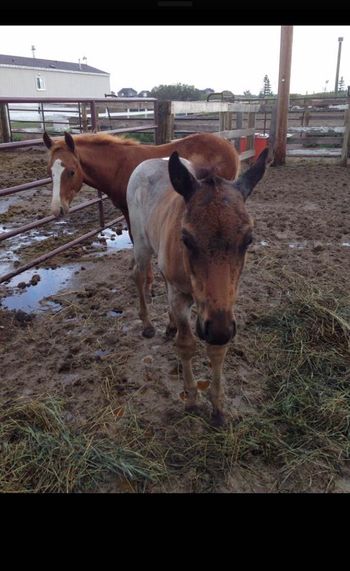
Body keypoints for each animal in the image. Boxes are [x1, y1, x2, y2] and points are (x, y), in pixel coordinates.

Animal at [127, 147, 270, 424]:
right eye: (186, 239)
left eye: (248, 239)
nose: (218, 331)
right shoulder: (182, 295)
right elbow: (186, 345)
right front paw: (192, 399)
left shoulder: (224, 307)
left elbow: (217, 349)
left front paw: (218, 408)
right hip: (141, 242)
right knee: (139, 275)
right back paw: (148, 323)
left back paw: (169, 324)